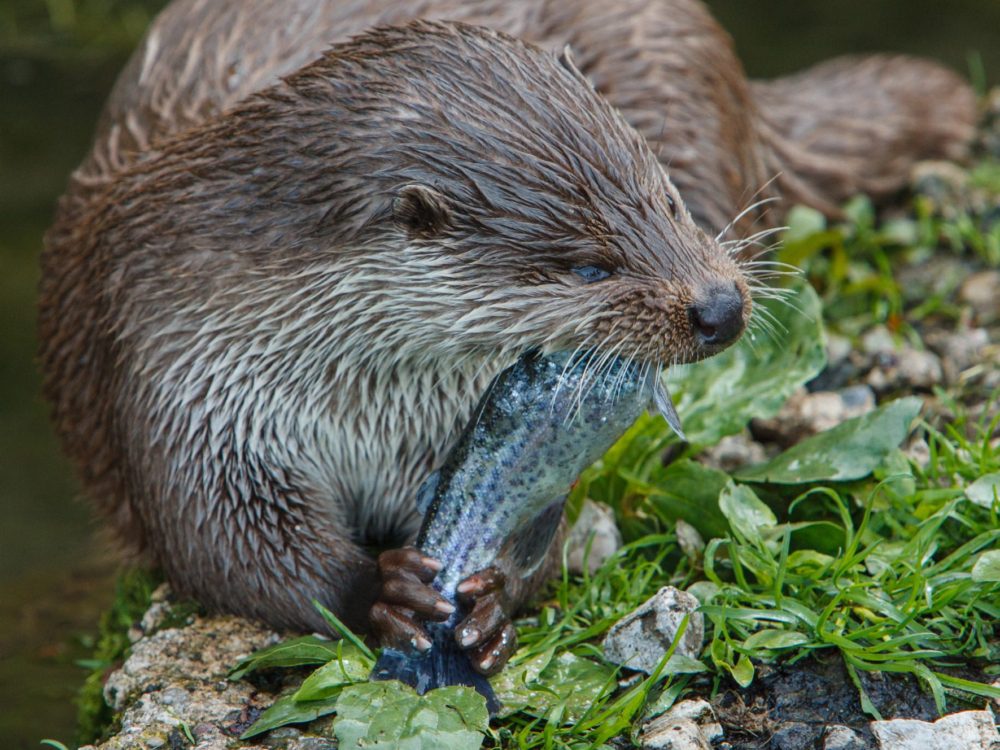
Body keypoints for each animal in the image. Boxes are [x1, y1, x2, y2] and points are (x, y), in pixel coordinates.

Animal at [41, 0, 975, 675]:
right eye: (589, 267)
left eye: (667, 202)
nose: (720, 308)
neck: (356, 398)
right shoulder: (175, 377)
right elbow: (220, 542)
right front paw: (380, 592)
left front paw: (493, 599)